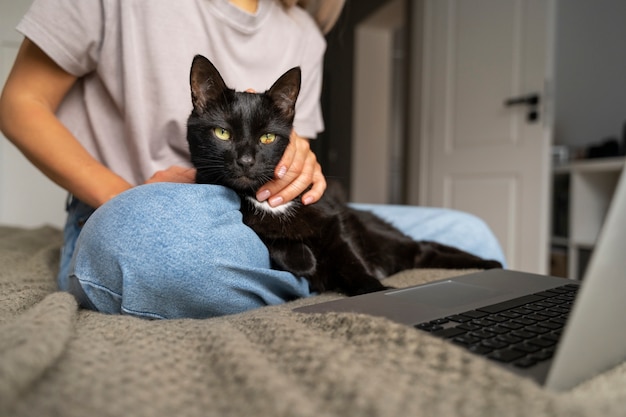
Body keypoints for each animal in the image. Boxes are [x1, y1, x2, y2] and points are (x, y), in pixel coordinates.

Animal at [185, 55, 502, 296]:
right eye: (222, 133)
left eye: (267, 138)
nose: (246, 161)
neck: (269, 202)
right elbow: (270, 238)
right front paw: (304, 259)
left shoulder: (333, 224)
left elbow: (350, 261)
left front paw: (376, 290)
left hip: (382, 238)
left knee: (424, 249)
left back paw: (490, 264)